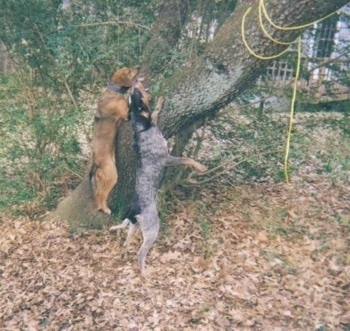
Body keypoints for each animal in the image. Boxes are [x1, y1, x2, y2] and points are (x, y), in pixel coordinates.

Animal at [89, 67, 140, 215]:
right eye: (129, 70)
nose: (138, 67)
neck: (114, 92)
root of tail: (96, 163)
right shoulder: (126, 115)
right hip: (112, 175)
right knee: (101, 194)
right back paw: (106, 209)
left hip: (103, 178)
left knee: (98, 194)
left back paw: (101, 207)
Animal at [110, 80, 208, 274]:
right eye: (137, 94)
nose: (135, 82)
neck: (141, 129)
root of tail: (134, 210)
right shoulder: (167, 158)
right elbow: (188, 159)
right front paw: (201, 167)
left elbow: (155, 113)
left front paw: (161, 102)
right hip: (152, 229)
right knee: (140, 252)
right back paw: (144, 272)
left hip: (135, 226)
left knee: (127, 241)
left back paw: (125, 252)